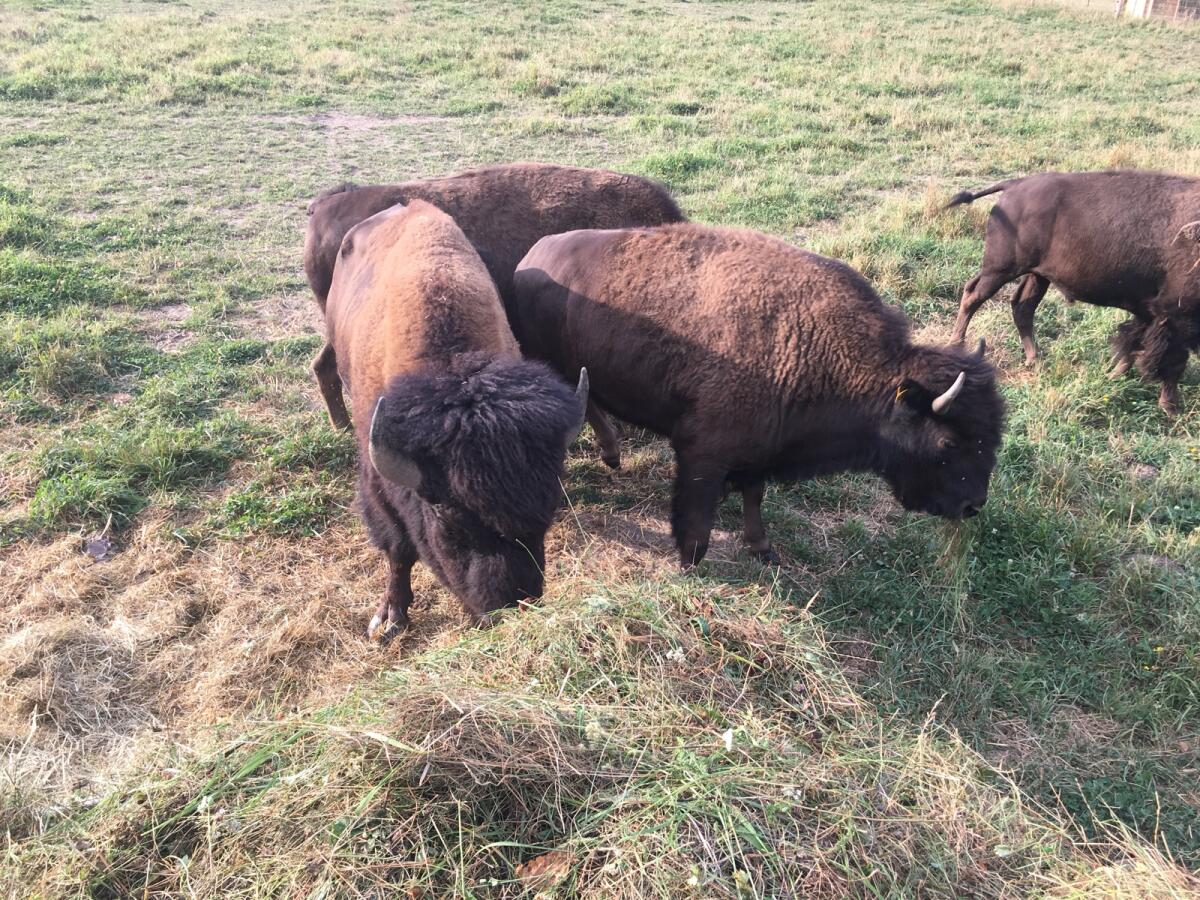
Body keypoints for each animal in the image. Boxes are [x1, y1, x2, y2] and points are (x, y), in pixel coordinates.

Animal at [324, 198, 587, 636]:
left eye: (549, 504)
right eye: (447, 516)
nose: (509, 604)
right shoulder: (377, 481)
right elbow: (398, 549)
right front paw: (389, 618)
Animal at [511, 224, 1005, 569]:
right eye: (947, 443)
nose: (973, 505)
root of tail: (531, 257)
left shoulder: (761, 447)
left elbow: (754, 494)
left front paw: (763, 548)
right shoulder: (703, 453)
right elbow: (698, 514)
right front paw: (691, 563)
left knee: (592, 400)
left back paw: (612, 456)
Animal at [947, 170, 1200, 414]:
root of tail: (1015, 184)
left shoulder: (1151, 314)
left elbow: (1133, 343)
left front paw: (1114, 375)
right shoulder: (1175, 318)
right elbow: (1172, 361)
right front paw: (1171, 408)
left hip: (1036, 275)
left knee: (1021, 307)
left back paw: (1034, 359)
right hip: (1000, 269)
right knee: (973, 296)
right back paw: (956, 346)